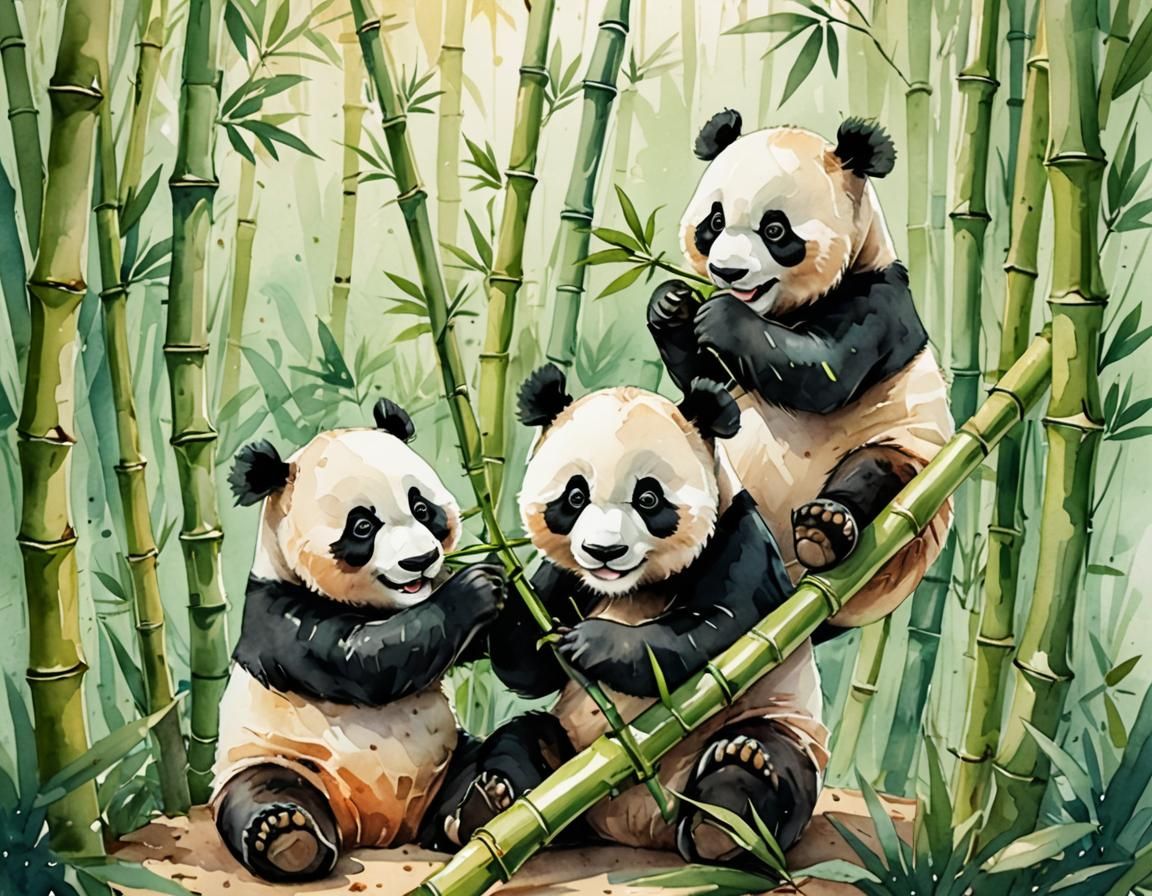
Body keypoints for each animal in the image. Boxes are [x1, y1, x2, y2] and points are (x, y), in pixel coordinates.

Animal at [210, 399, 506, 883]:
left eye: (421, 507)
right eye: (363, 526)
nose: (419, 560)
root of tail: (381, 830)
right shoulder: (278, 617)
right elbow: (364, 661)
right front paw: (476, 589)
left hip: (449, 760)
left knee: (497, 754)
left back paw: (487, 804)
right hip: (276, 758)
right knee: (262, 790)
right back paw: (287, 837)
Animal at [445, 364, 828, 863]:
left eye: (648, 499)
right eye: (575, 497)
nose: (604, 551)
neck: (633, 588)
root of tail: (634, 829)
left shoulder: (740, 536)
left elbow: (718, 626)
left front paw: (590, 641)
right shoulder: (568, 577)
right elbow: (528, 668)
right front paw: (508, 601)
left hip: (784, 726)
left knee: (772, 763)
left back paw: (726, 811)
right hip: (568, 758)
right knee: (522, 741)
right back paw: (492, 803)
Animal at [646, 111, 954, 625]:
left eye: (775, 230)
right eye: (715, 221)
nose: (728, 274)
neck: (778, 311)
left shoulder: (880, 303)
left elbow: (824, 374)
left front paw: (723, 317)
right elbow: (711, 385)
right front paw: (670, 305)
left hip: (911, 482)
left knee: (877, 472)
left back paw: (822, 530)